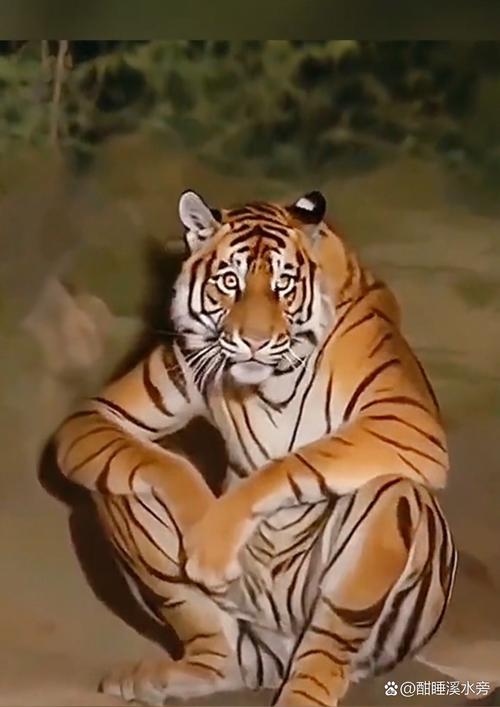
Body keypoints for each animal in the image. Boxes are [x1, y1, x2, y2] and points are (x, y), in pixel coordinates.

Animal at [54, 189, 457, 707]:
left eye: (284, 285)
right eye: (230, 282)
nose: (254, 342)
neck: (270, 383)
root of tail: (273, 659)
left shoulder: (406, 421)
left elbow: (295, 462)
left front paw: (211, 537)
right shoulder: (104, 414)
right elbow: (167, 464)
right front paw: (201, 527)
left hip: (371, 562)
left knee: (333, 631)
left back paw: (304, 692)